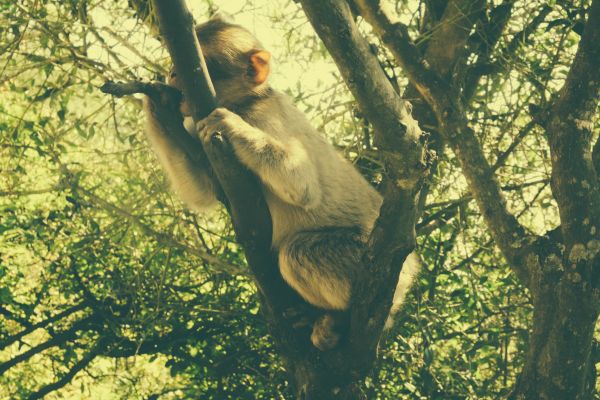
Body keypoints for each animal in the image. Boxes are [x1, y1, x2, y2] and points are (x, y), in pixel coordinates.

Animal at [142, 18, 420, 350]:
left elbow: (302, 186)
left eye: (194, 63)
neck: (246, 102)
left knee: (298, 253)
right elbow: (203, 194)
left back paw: (337, 317)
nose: (171, 73)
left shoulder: (265, 117)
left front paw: (229, 124)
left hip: (366, 261)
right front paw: (155, 104)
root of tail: (410, 270)